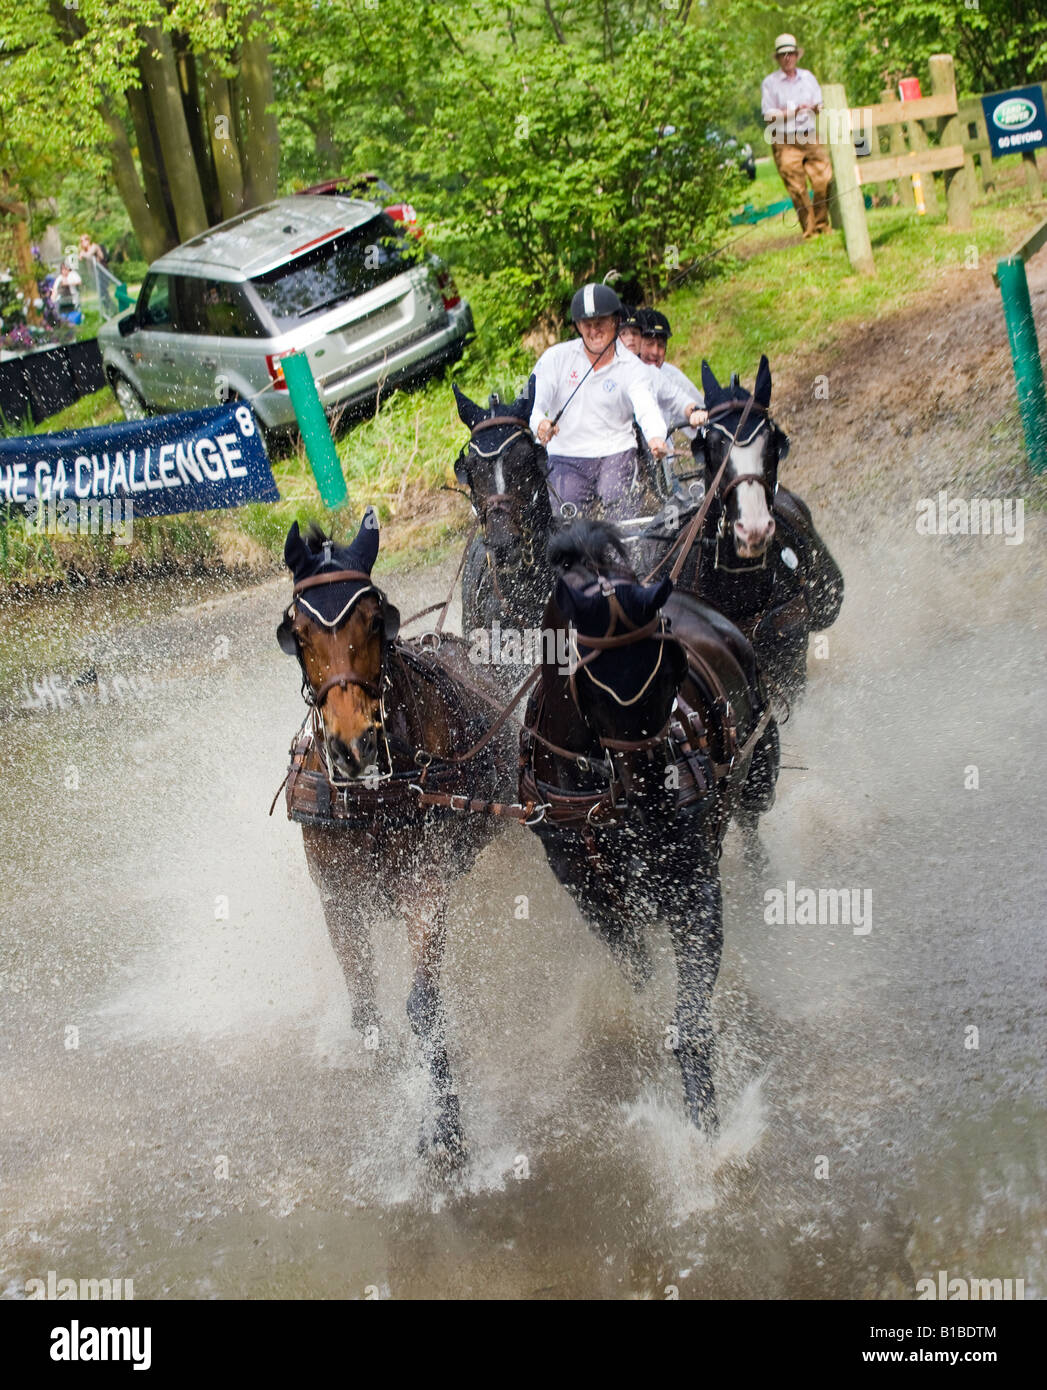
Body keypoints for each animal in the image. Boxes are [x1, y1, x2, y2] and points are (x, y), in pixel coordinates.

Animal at [275, 508, 517, 1162]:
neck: (375, 795)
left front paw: (447, 1128)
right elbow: (364, 1008)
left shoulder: (423, 888)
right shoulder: (339, 900)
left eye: (373, 617)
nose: (352, 745)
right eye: (297, 632)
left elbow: (423, 1006)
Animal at [522, 519, 778, 1128]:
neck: (599, 796)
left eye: (671, 672)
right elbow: (637, 970)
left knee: (753, 822)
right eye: (591, 682)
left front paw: (705, 1128)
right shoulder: (590, 894)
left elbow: (690, 1021)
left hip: (759, 762)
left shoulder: (691, 886)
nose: (656, 800)